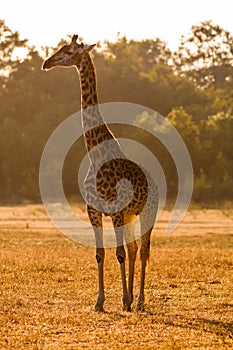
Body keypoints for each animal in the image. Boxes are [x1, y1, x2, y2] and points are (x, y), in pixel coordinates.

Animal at [42, 34, 158, 310]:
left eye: (69, 51)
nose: (46, 63)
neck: (96, 157)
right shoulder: (93, 210)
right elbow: (100, 253)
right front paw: (100, 301)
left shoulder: (114, 211)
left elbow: (118, 254)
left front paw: (123, 299)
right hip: (130, 215)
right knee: (134, 248)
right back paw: (131, 299)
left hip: (148, 212)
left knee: (143, 251)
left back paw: (138, 301)